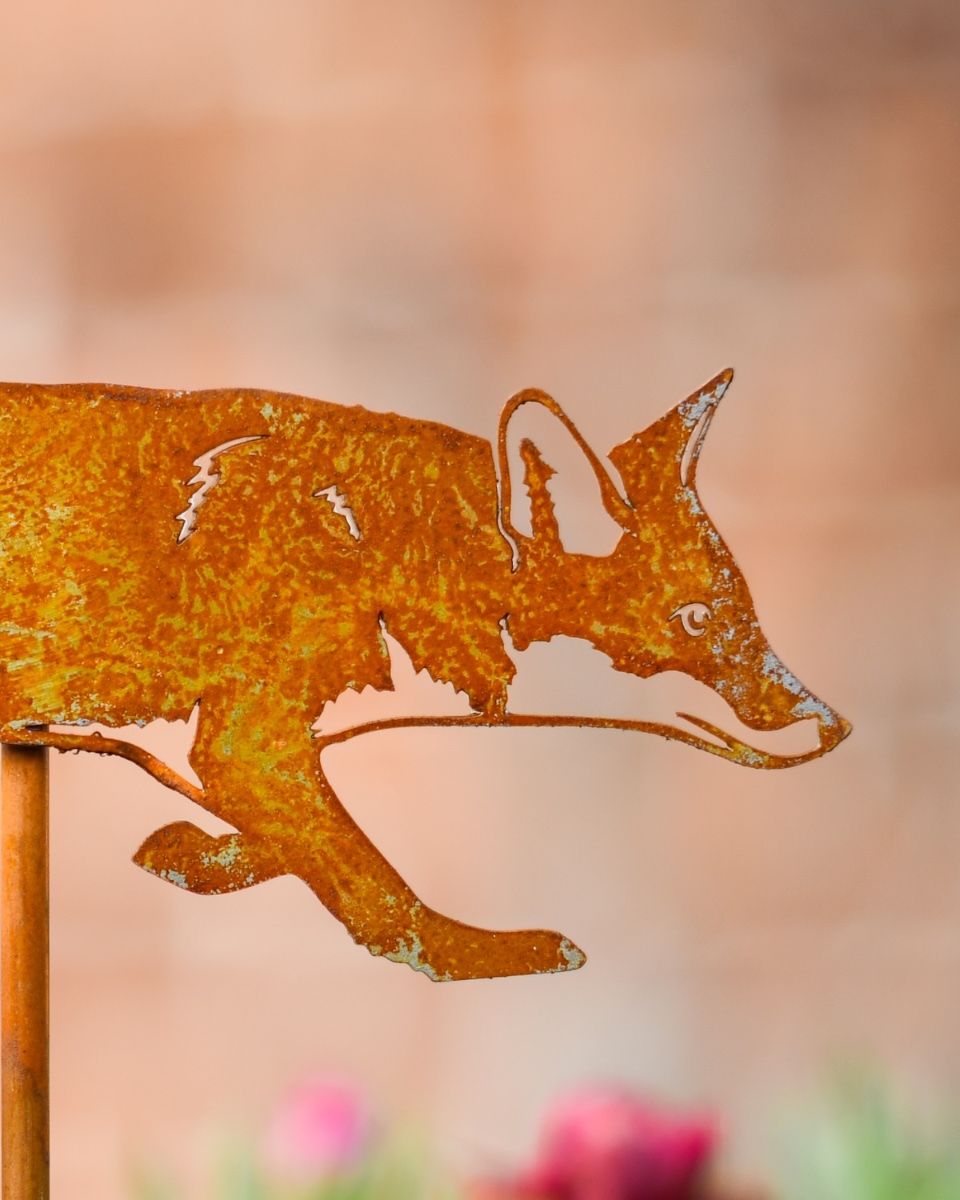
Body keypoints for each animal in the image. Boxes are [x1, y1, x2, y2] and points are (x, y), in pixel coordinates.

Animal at [0, 369, 850, 981]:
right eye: (697, 618)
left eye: (745, 609)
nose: (832, 724)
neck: (374, 537)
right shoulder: (249, 744)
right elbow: (382, 897)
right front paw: (479, 953)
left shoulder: (260, 752)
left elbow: (309, 845)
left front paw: (195, 856)